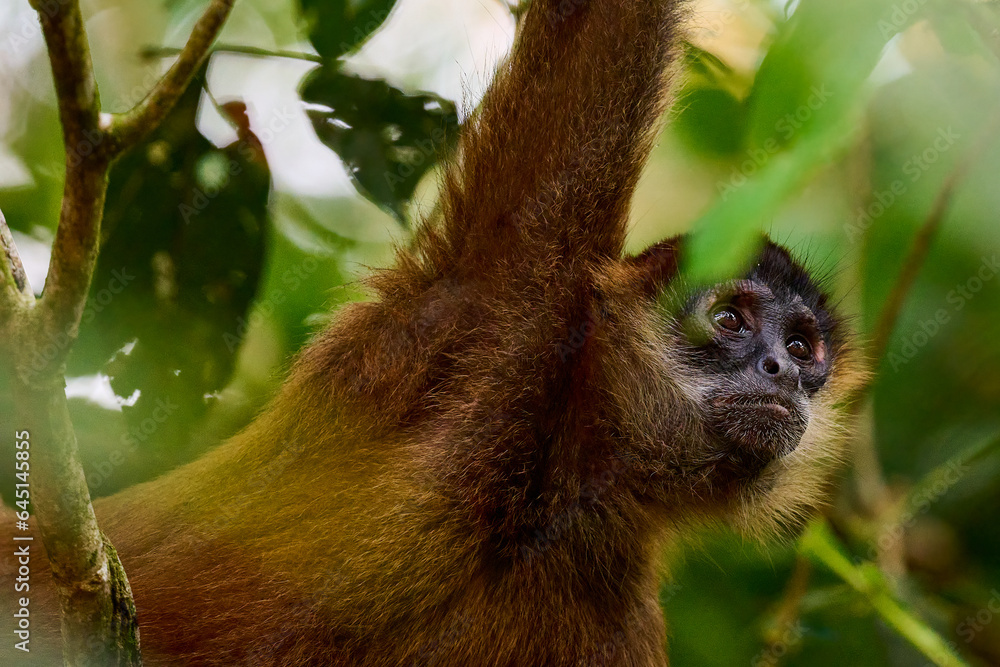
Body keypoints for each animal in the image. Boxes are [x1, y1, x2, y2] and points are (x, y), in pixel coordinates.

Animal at [2, 0, 865, 664]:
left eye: (801, 347)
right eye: (730, 321)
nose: (780, 373)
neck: (568, 477)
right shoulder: (504, 302)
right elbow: (601, 34)